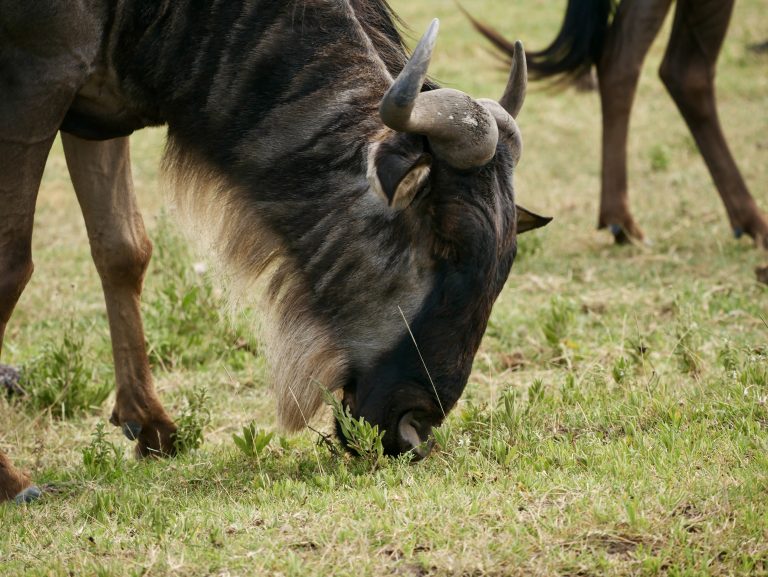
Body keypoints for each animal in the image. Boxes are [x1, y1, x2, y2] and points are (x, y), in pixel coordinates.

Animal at [0, 0, 550, 503]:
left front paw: (151, 425)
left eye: (505, 264)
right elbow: (13, 266)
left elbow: (122, 249)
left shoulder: (95, 116)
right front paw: (11, 480)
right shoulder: (37, 83)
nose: (413, 434)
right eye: (445, 241)